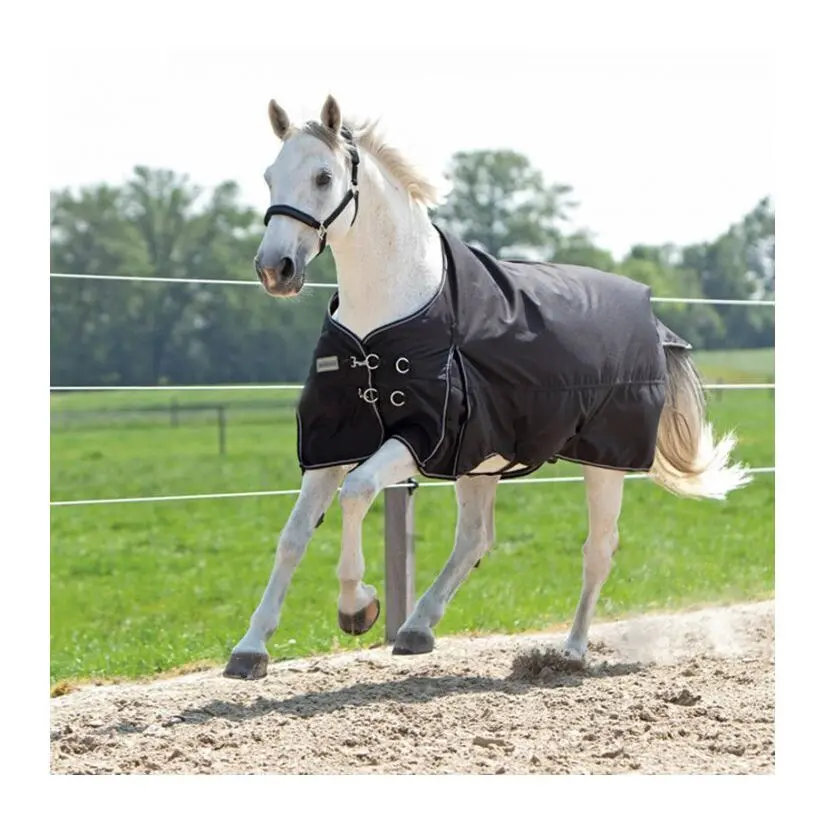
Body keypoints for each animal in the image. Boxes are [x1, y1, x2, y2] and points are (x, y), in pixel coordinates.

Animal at [223, 95, 750, 680]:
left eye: (323, 176)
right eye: (269, 176)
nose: (275, 269)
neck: (385, 318)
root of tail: (656, 322)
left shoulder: (416, 437)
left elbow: (357, 492)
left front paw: (357, 606)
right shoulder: (331, 441)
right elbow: (293, 536)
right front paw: (250, 648)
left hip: (602, 460)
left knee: (598, 549)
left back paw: (570, 651)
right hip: (482, 459)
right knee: (476, 537)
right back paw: (418, 628)